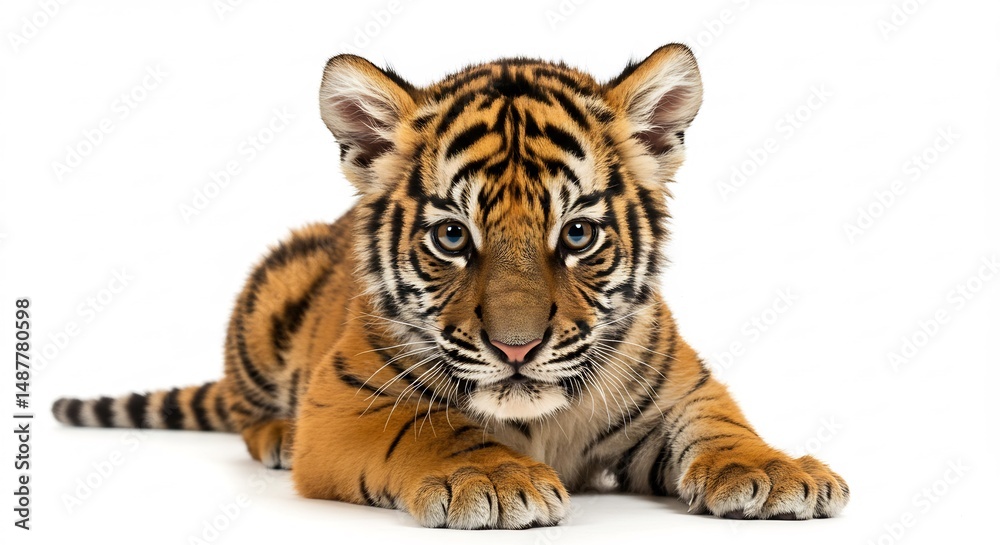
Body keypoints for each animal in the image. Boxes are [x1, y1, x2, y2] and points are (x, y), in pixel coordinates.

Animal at [52, 43, 849, 529]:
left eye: (577, 235)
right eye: (452, 238)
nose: (518, 348)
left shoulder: (683, 388)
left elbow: (723, 426)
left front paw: (777, 471)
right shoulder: (346, 402)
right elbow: (431, 428)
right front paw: (494, 479)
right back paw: (277, 432)